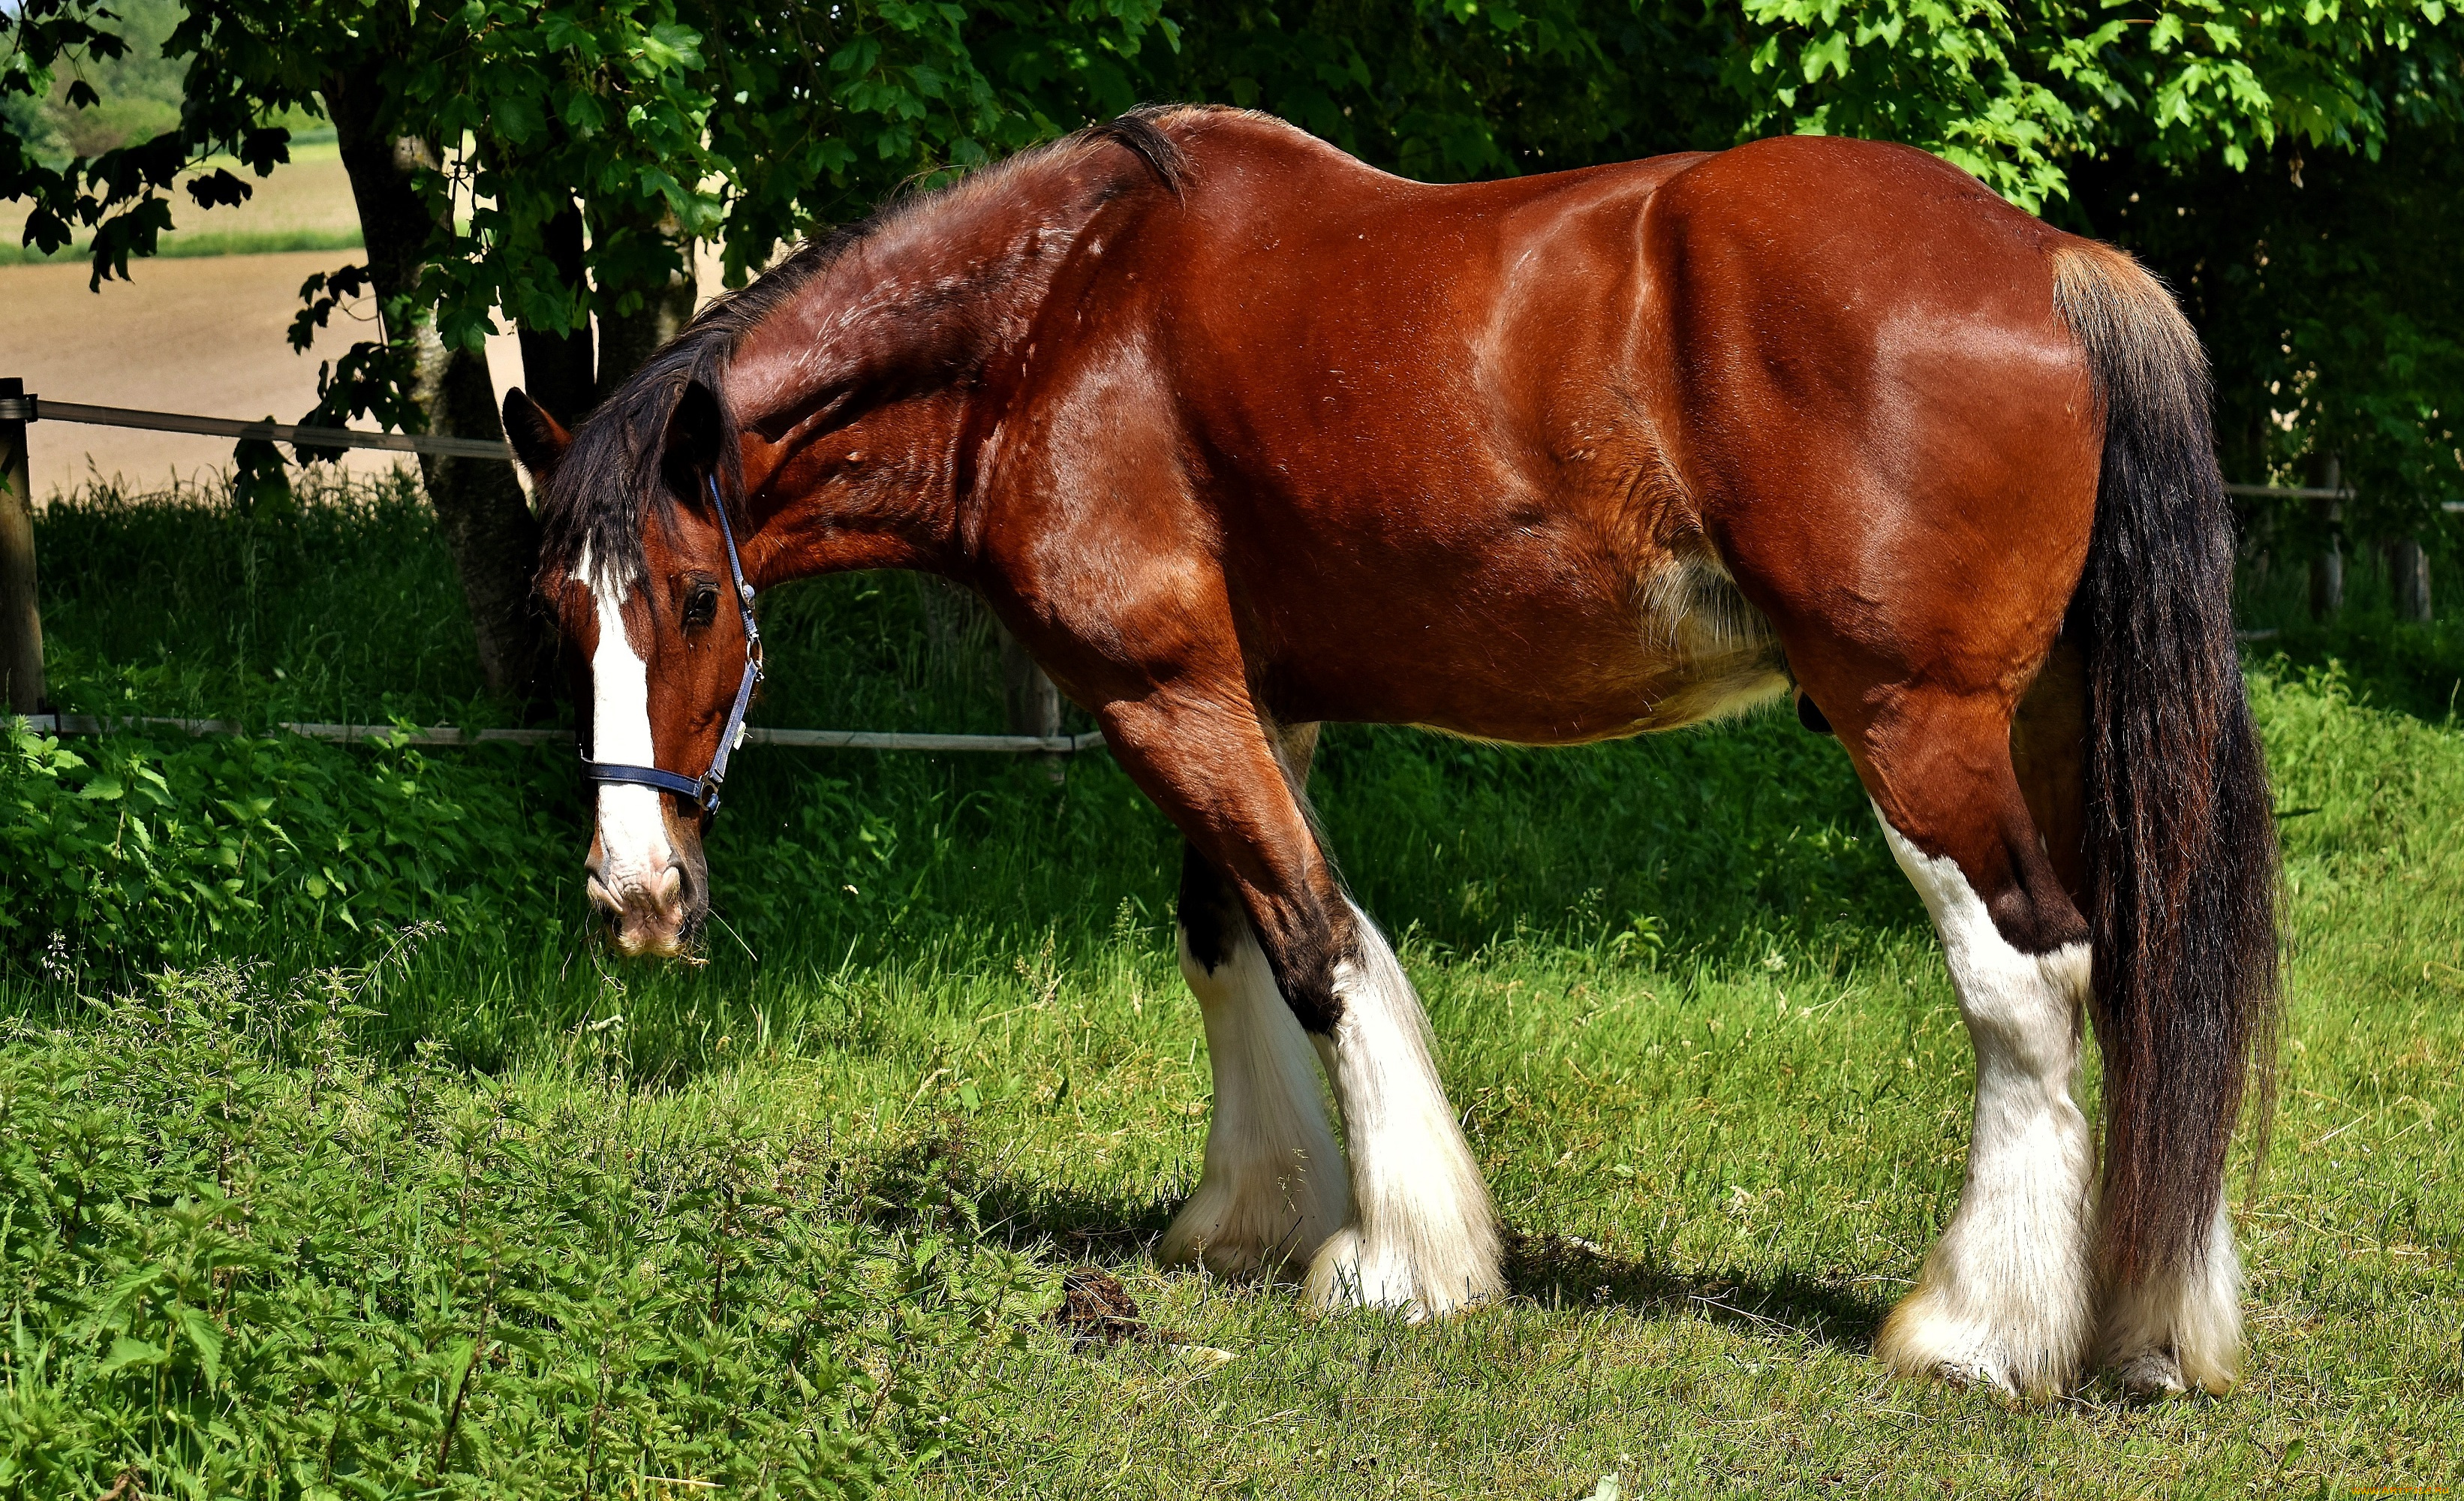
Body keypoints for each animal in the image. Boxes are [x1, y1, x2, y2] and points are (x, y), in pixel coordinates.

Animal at [510, 108, 2276, 1400]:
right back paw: (2145, 1324)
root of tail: (2052, 261)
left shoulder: (1161, 690)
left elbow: (1314, 946)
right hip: (2051, 728)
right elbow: (1221, 936)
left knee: (2029, 981)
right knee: (2134, 977)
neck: (1054, 322)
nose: (634, 897)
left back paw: (1982, 1333)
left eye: (689, 599)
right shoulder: (1239, 696)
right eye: (557, 609)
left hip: (1912, 725)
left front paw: (1399, 1262)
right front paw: (1247, 1213)